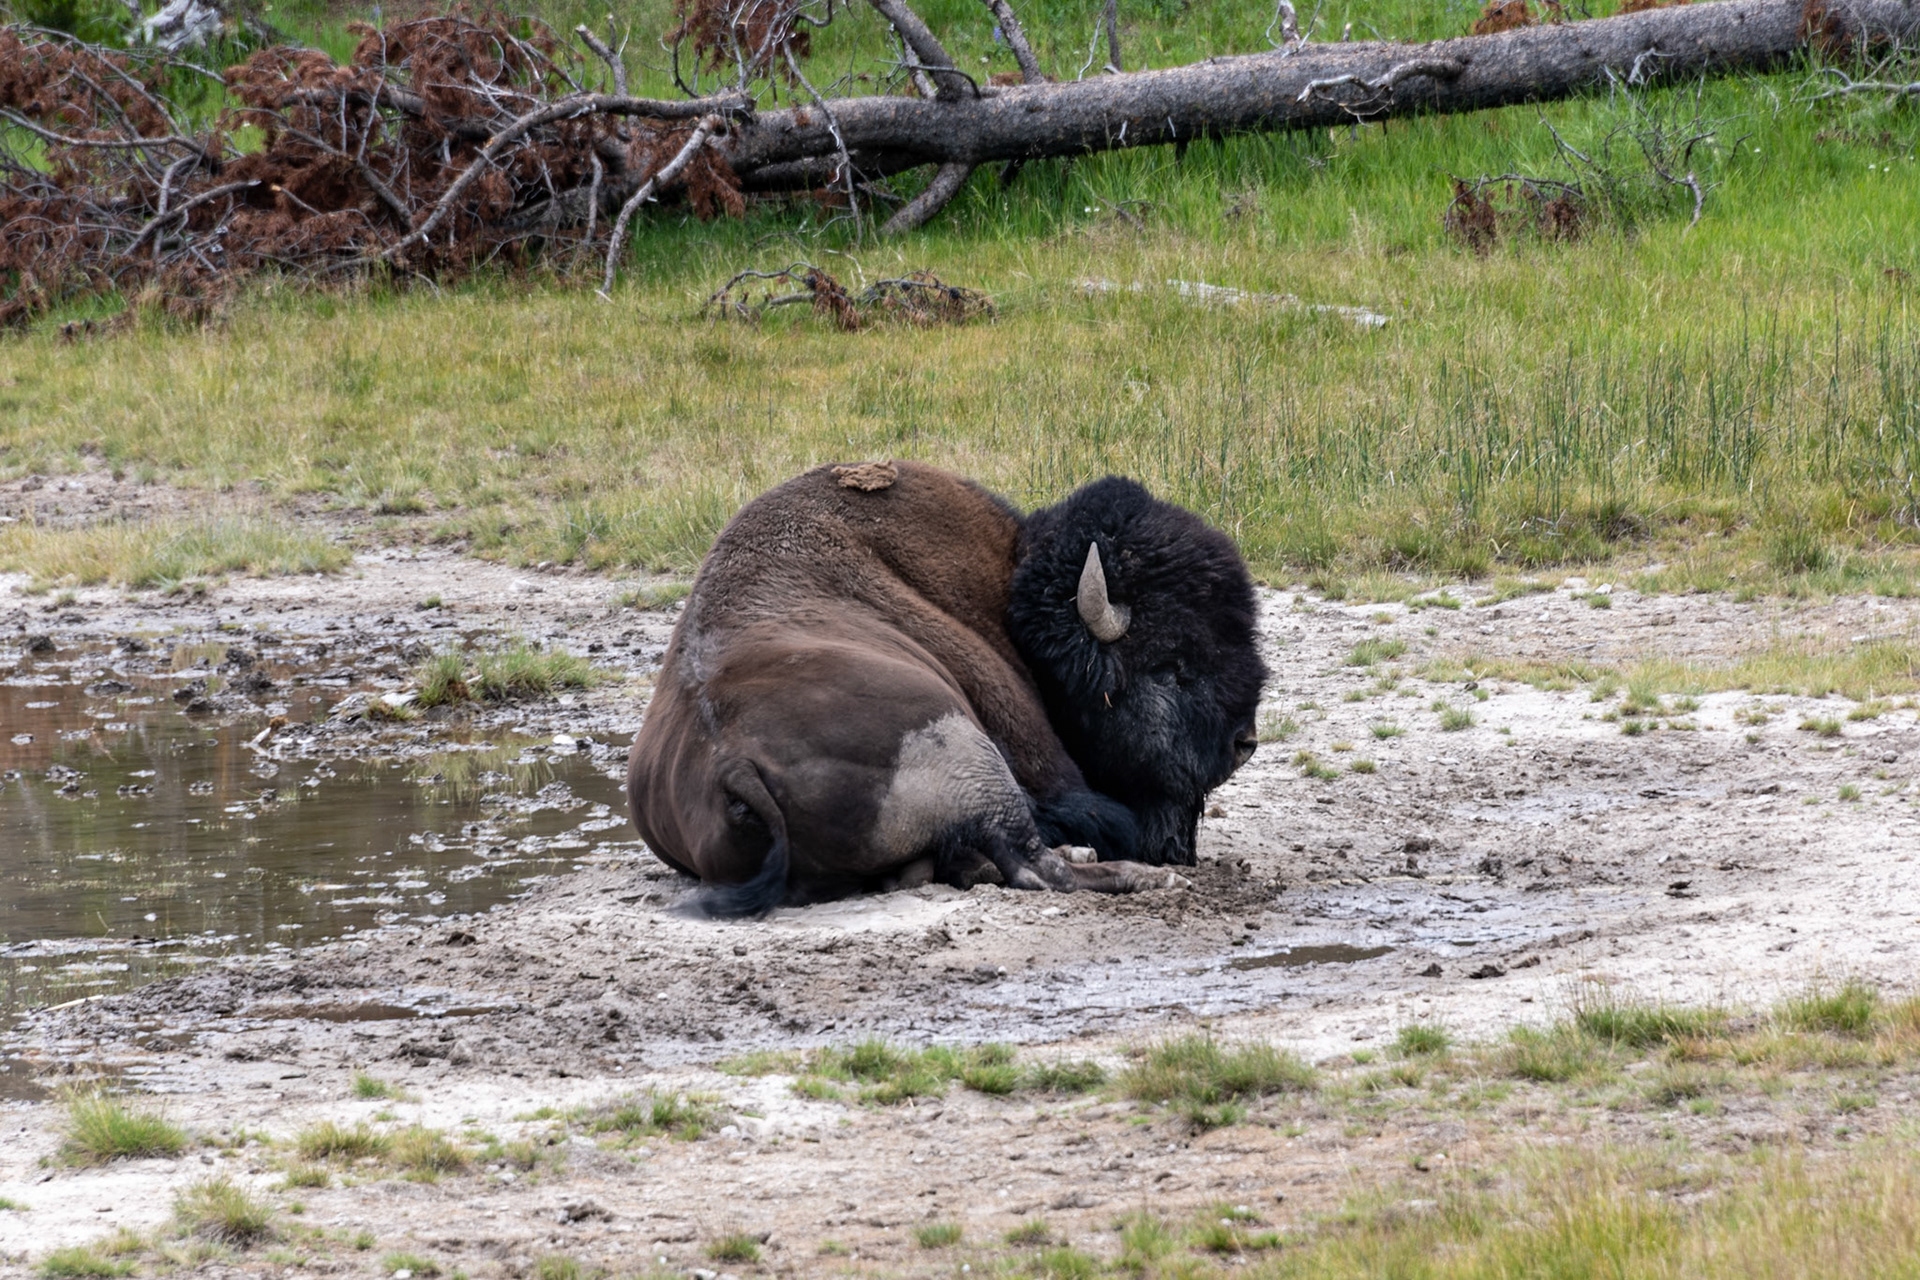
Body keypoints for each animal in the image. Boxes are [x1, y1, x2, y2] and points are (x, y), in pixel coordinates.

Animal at [626, 461, 1266, 916]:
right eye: (1170, 667)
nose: (1244, 743)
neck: (1009, 593)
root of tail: (731, 762)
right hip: (964, 747)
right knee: (1035, 866)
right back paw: (1146, 876)